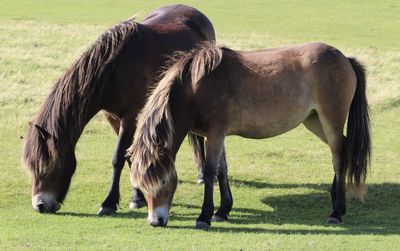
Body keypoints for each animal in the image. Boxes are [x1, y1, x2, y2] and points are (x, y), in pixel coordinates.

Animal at [22, 3, 219, 216]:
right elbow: (130, 156)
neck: (114, 69)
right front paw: (138, 197)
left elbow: (118, 158)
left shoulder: (130, 116)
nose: (40, 205)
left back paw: (202, 174)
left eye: (47, 166)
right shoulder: (113, 118)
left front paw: (108, 203)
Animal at [129, 41, 372, 229]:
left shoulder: (215, 133)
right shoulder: (217, 135)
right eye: (140, 184)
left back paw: (336, 212)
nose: (155, 221)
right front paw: (223, 211)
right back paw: (335, 198)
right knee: (344, 149)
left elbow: (210, 172)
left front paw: (204, 217)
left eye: (162, 181)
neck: (194, 87)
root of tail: (345, 58)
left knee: (338, 157)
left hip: (331, 121)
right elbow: (222, 171)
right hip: (314, 121)